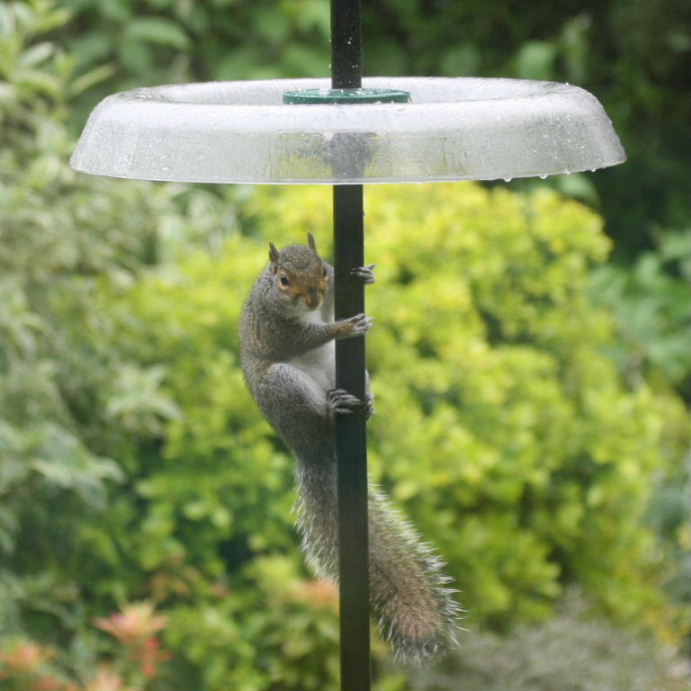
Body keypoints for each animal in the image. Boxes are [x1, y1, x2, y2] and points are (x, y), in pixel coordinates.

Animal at [240, 233, 461, 665]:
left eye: (323, 271)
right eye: (284, 280)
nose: (312, 298)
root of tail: (309, 449)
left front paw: (363, 277)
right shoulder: (276, 325)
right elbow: (306, 335)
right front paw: (342, 327)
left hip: (348, 372)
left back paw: (367, 403)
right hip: (284, 386)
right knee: (318, 414)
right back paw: (331, 411)